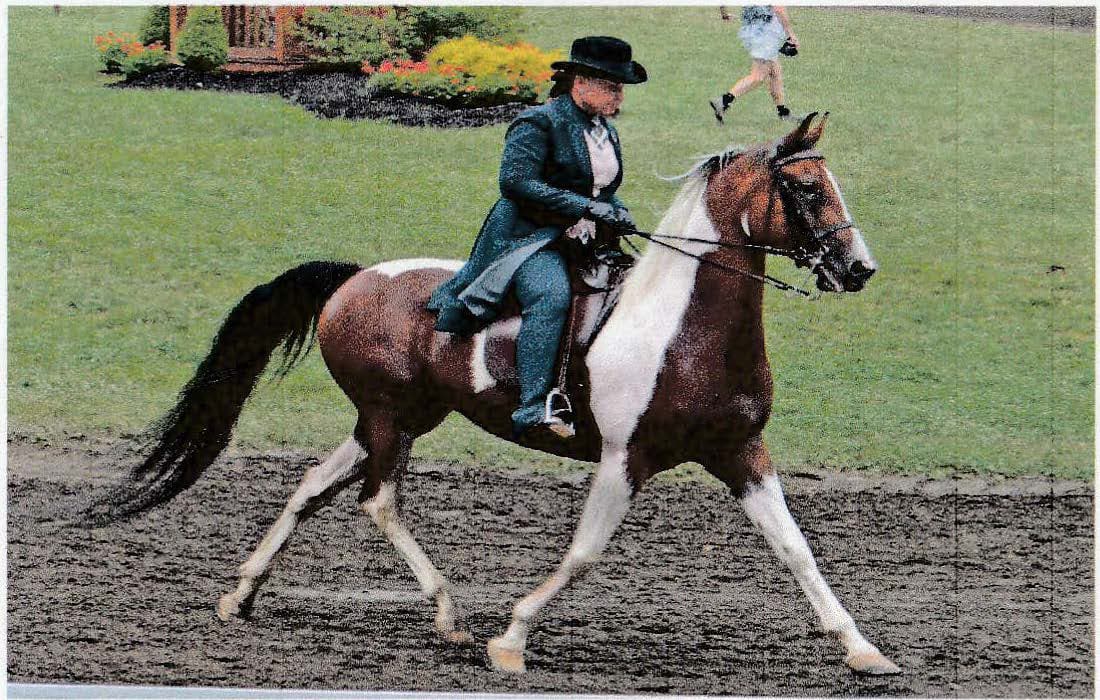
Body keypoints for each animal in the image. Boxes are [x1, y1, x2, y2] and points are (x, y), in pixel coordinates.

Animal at [89, 112, 899, 676]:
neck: (680, 328)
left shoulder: (741, 453)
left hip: (392, 418)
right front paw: (510, 639)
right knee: (378, 501)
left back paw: (242, 594)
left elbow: (797, 551)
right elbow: (583, 554)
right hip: (389, 419)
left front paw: (862, 650)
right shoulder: (624, 459)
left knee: (313, 487)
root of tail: (356, 277)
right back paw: (447, 612)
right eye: (804, 188)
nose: (859, 269)